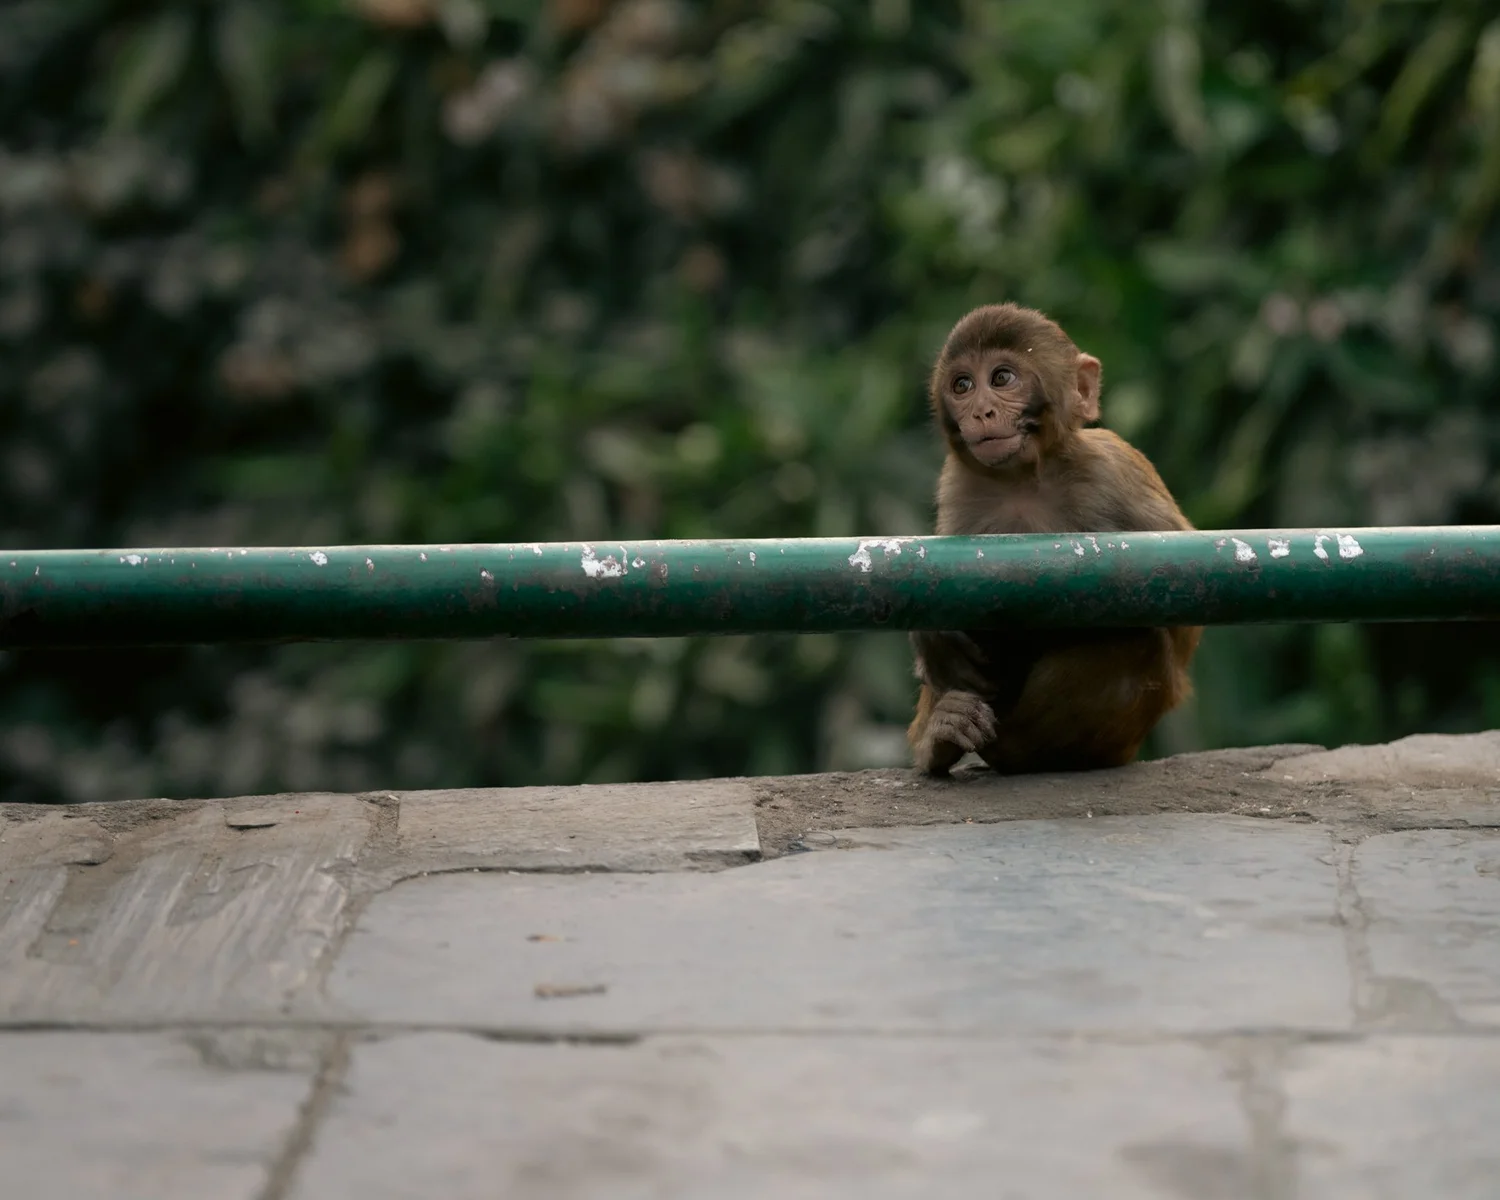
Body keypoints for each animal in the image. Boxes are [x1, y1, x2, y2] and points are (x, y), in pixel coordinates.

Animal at [907, 303, 1202, 776]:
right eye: (963, 385)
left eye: (1002, 379)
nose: (981, 412)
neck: (1024, 481)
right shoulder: (958, 486)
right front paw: (934, 634)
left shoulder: (1110, 468)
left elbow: (1184, 615)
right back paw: (943, 736)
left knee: (1140, 639)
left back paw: (1032, 751)